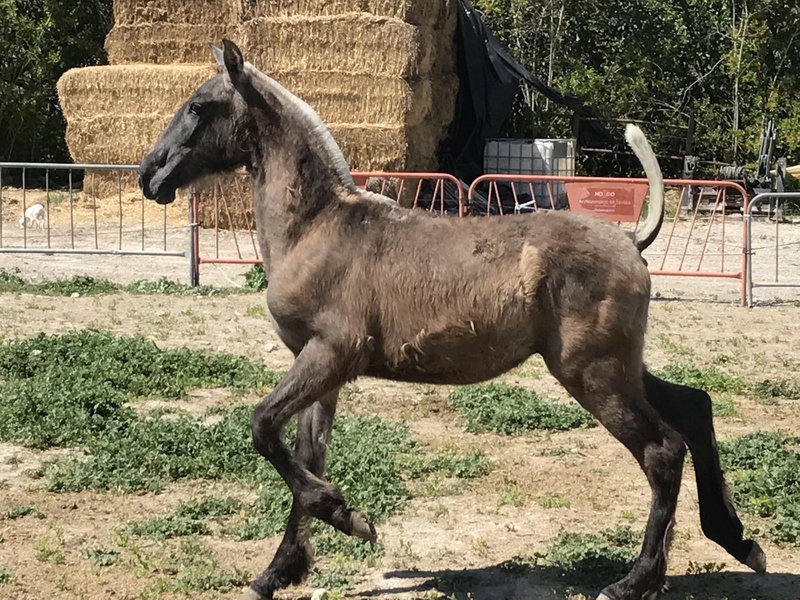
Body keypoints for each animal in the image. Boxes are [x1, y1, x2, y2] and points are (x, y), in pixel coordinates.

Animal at [138, 39, 765, 600]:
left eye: (198, 106)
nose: (149, 174)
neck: (318, 226)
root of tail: (632, 239)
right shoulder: (319, 371)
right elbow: (304, 454)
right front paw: (279, 571)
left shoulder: (332, 354)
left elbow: (263, 428)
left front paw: (350, 516)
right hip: (615, 367)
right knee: (694, 407)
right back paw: (737, 540)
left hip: (593, 374)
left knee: (663, 451)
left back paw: (634, 581)